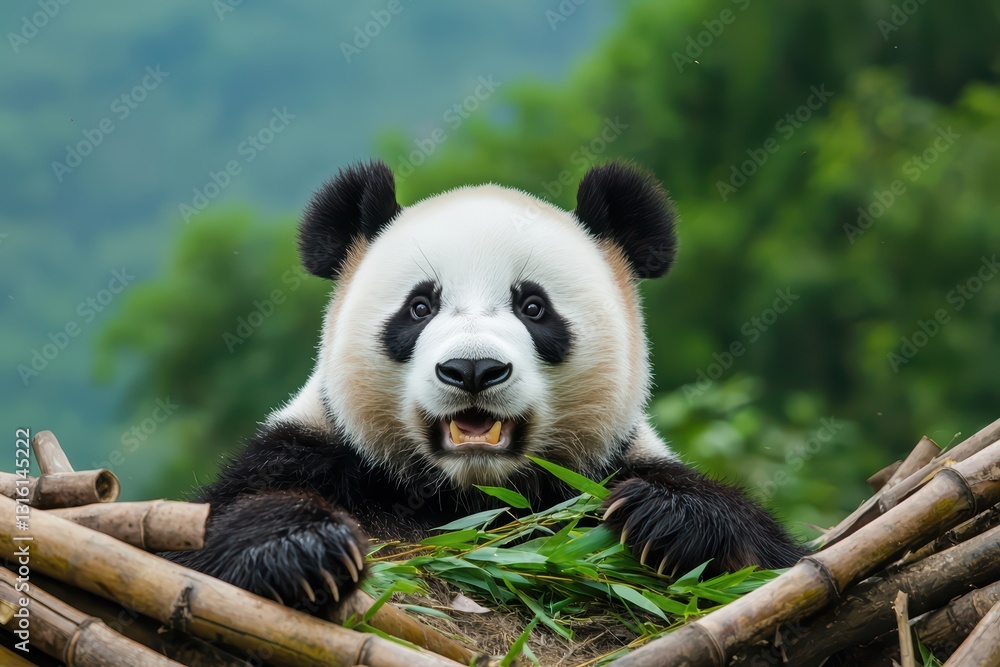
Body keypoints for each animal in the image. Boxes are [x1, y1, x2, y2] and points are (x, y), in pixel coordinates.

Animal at [168, 159, 806, 613]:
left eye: (533, 307)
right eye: (420, 307)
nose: (472, 370)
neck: (470, 496)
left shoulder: (603, 466)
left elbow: (774, 559)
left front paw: (664, 518)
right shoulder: (322, 454)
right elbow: (197, 536)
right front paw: (302, 549)